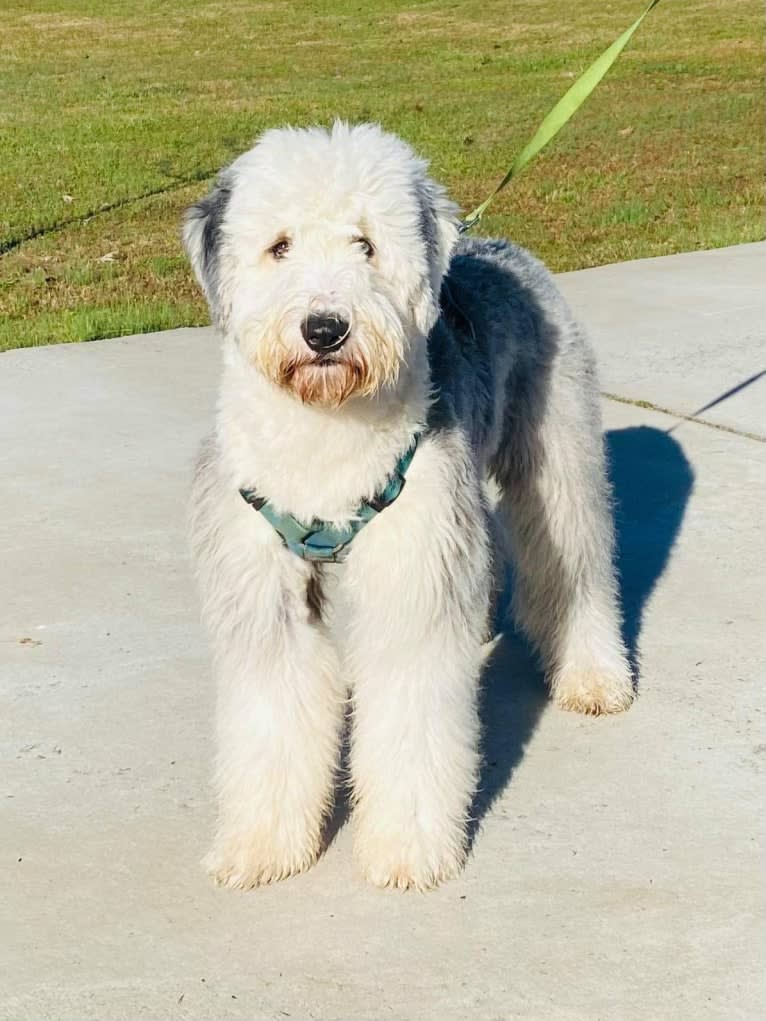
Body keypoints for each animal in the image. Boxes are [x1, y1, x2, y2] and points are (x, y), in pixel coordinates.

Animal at [182, 121, 633, 894]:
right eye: (280, 246)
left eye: (365, 244)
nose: (325, 329)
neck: (326, 438)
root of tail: (495, 243)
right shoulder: (266, 598)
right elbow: (274, 719)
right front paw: (265, 846)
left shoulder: (413, 579)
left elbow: (410, 721)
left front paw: (405, 849)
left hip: (557, 462)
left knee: (575, 567)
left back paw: (595, 675)